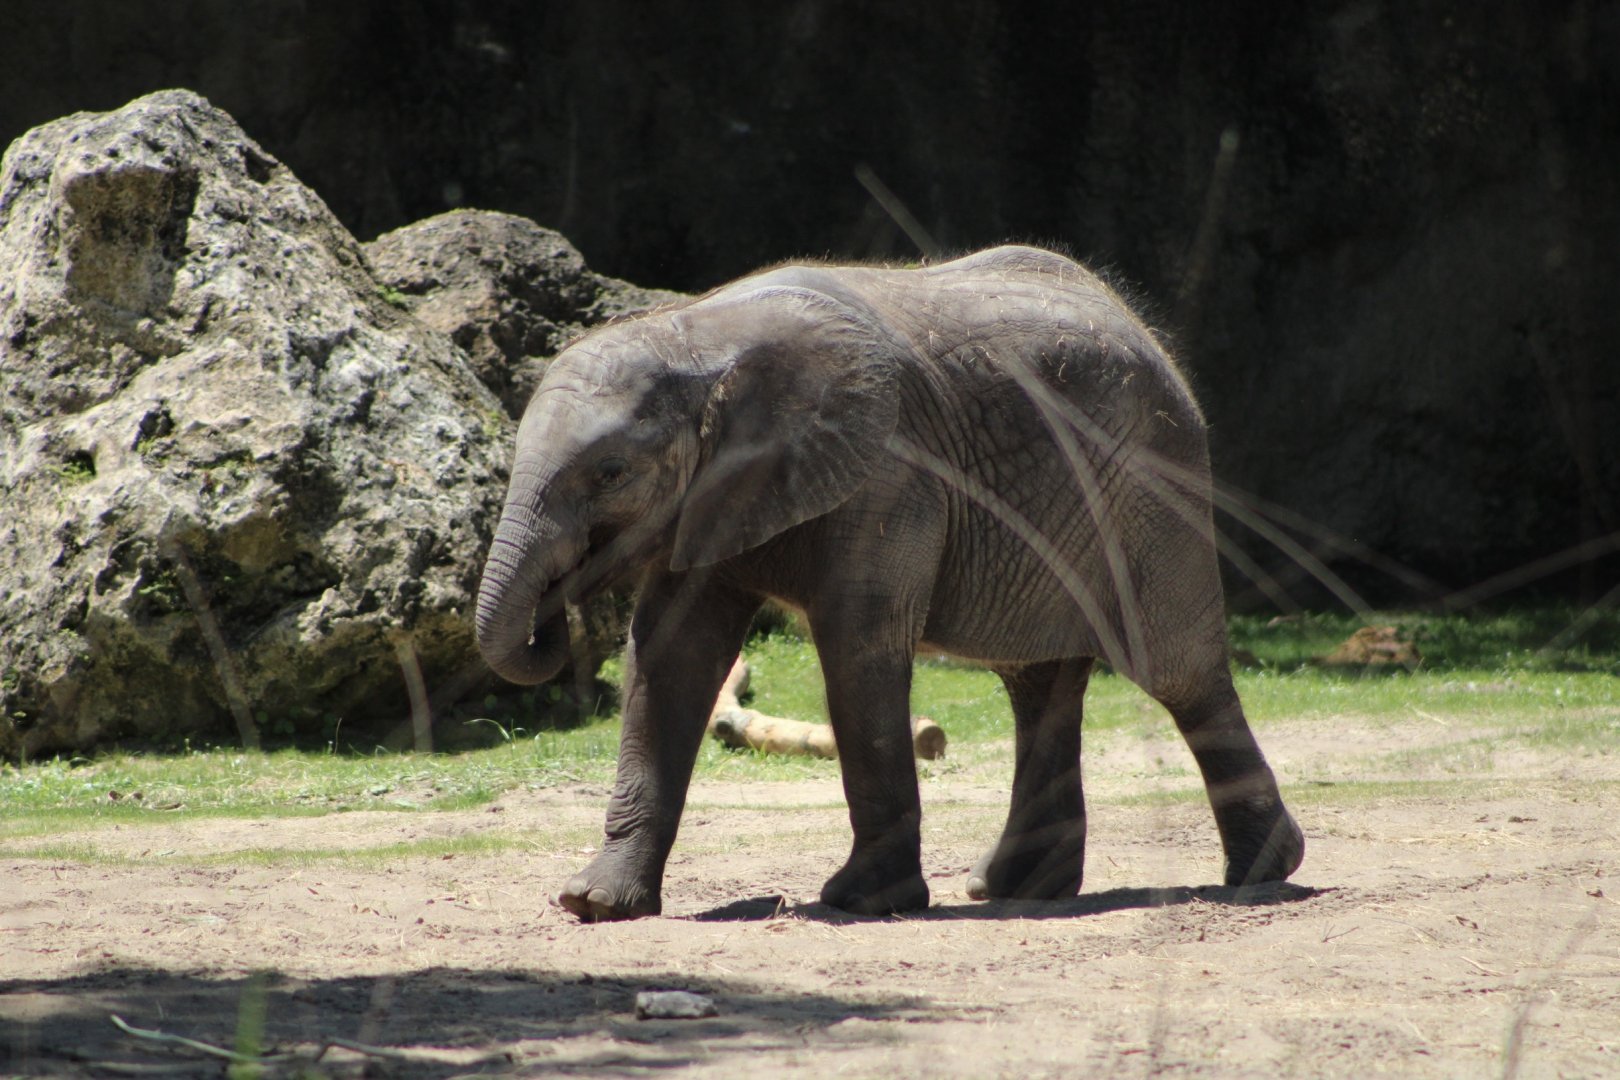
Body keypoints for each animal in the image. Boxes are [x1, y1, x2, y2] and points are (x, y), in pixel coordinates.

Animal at [475, 244, 1304, 921]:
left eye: (609, 473)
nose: (554, 621)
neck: (698, 336)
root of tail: (1143, 328)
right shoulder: (714, 499)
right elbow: (669, 661)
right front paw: (593, 904)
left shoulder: (892, 477)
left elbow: (857, 652)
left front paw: (863, 903)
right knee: (1038, 684)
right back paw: (1017, 888)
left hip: (1157, 486)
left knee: (1178, 672)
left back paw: (1262, 873)